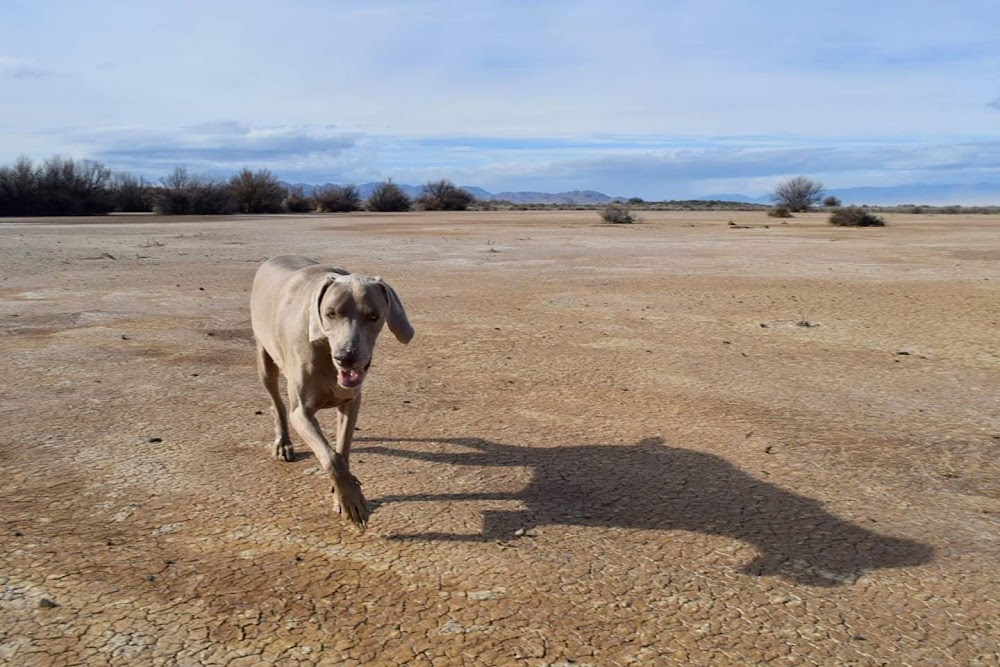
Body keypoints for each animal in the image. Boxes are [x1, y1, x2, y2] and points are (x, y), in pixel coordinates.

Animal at [250, 256, 414, 532]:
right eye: (330, 314)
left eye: (373, 316)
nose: (346, 357)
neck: (325, 353)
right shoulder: (301, 413)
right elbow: (331, 458)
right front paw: (352, 503)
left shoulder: (351, 401)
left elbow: (342, 452)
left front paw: (343, 496)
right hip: (264, 357)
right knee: (277, 403)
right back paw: (283, 443)